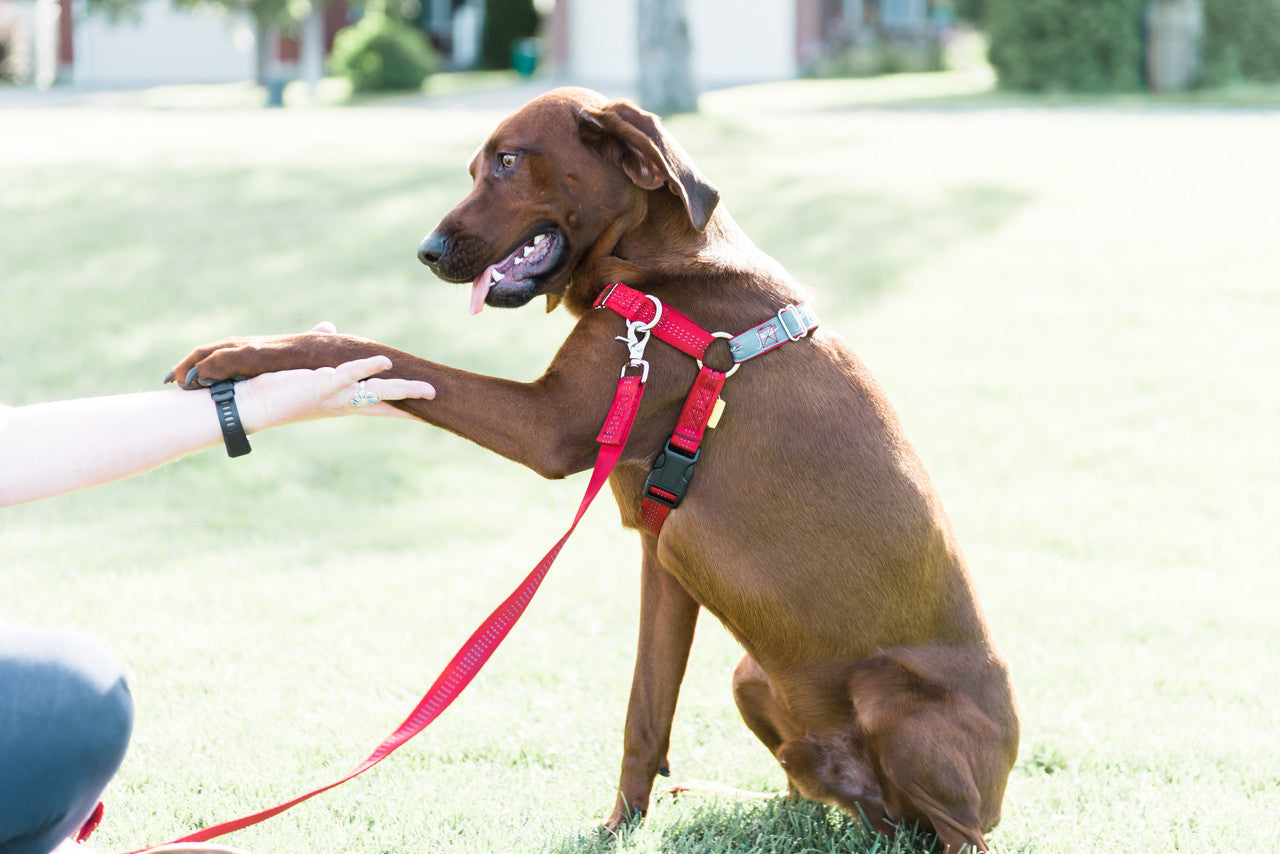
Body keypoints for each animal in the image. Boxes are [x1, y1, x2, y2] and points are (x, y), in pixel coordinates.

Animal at [175, 88, 1024, 854]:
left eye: (509, 162)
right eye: (476, 166)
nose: (427, 252)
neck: (658, 267)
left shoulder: (548, 428)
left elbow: (367, 347)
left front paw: (239, 352)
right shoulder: (663, 558)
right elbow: (643, 716)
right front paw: (622, 826)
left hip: (890, 699)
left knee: (956, 835)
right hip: (752, 675)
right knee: (809, 794)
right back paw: (729, 799)